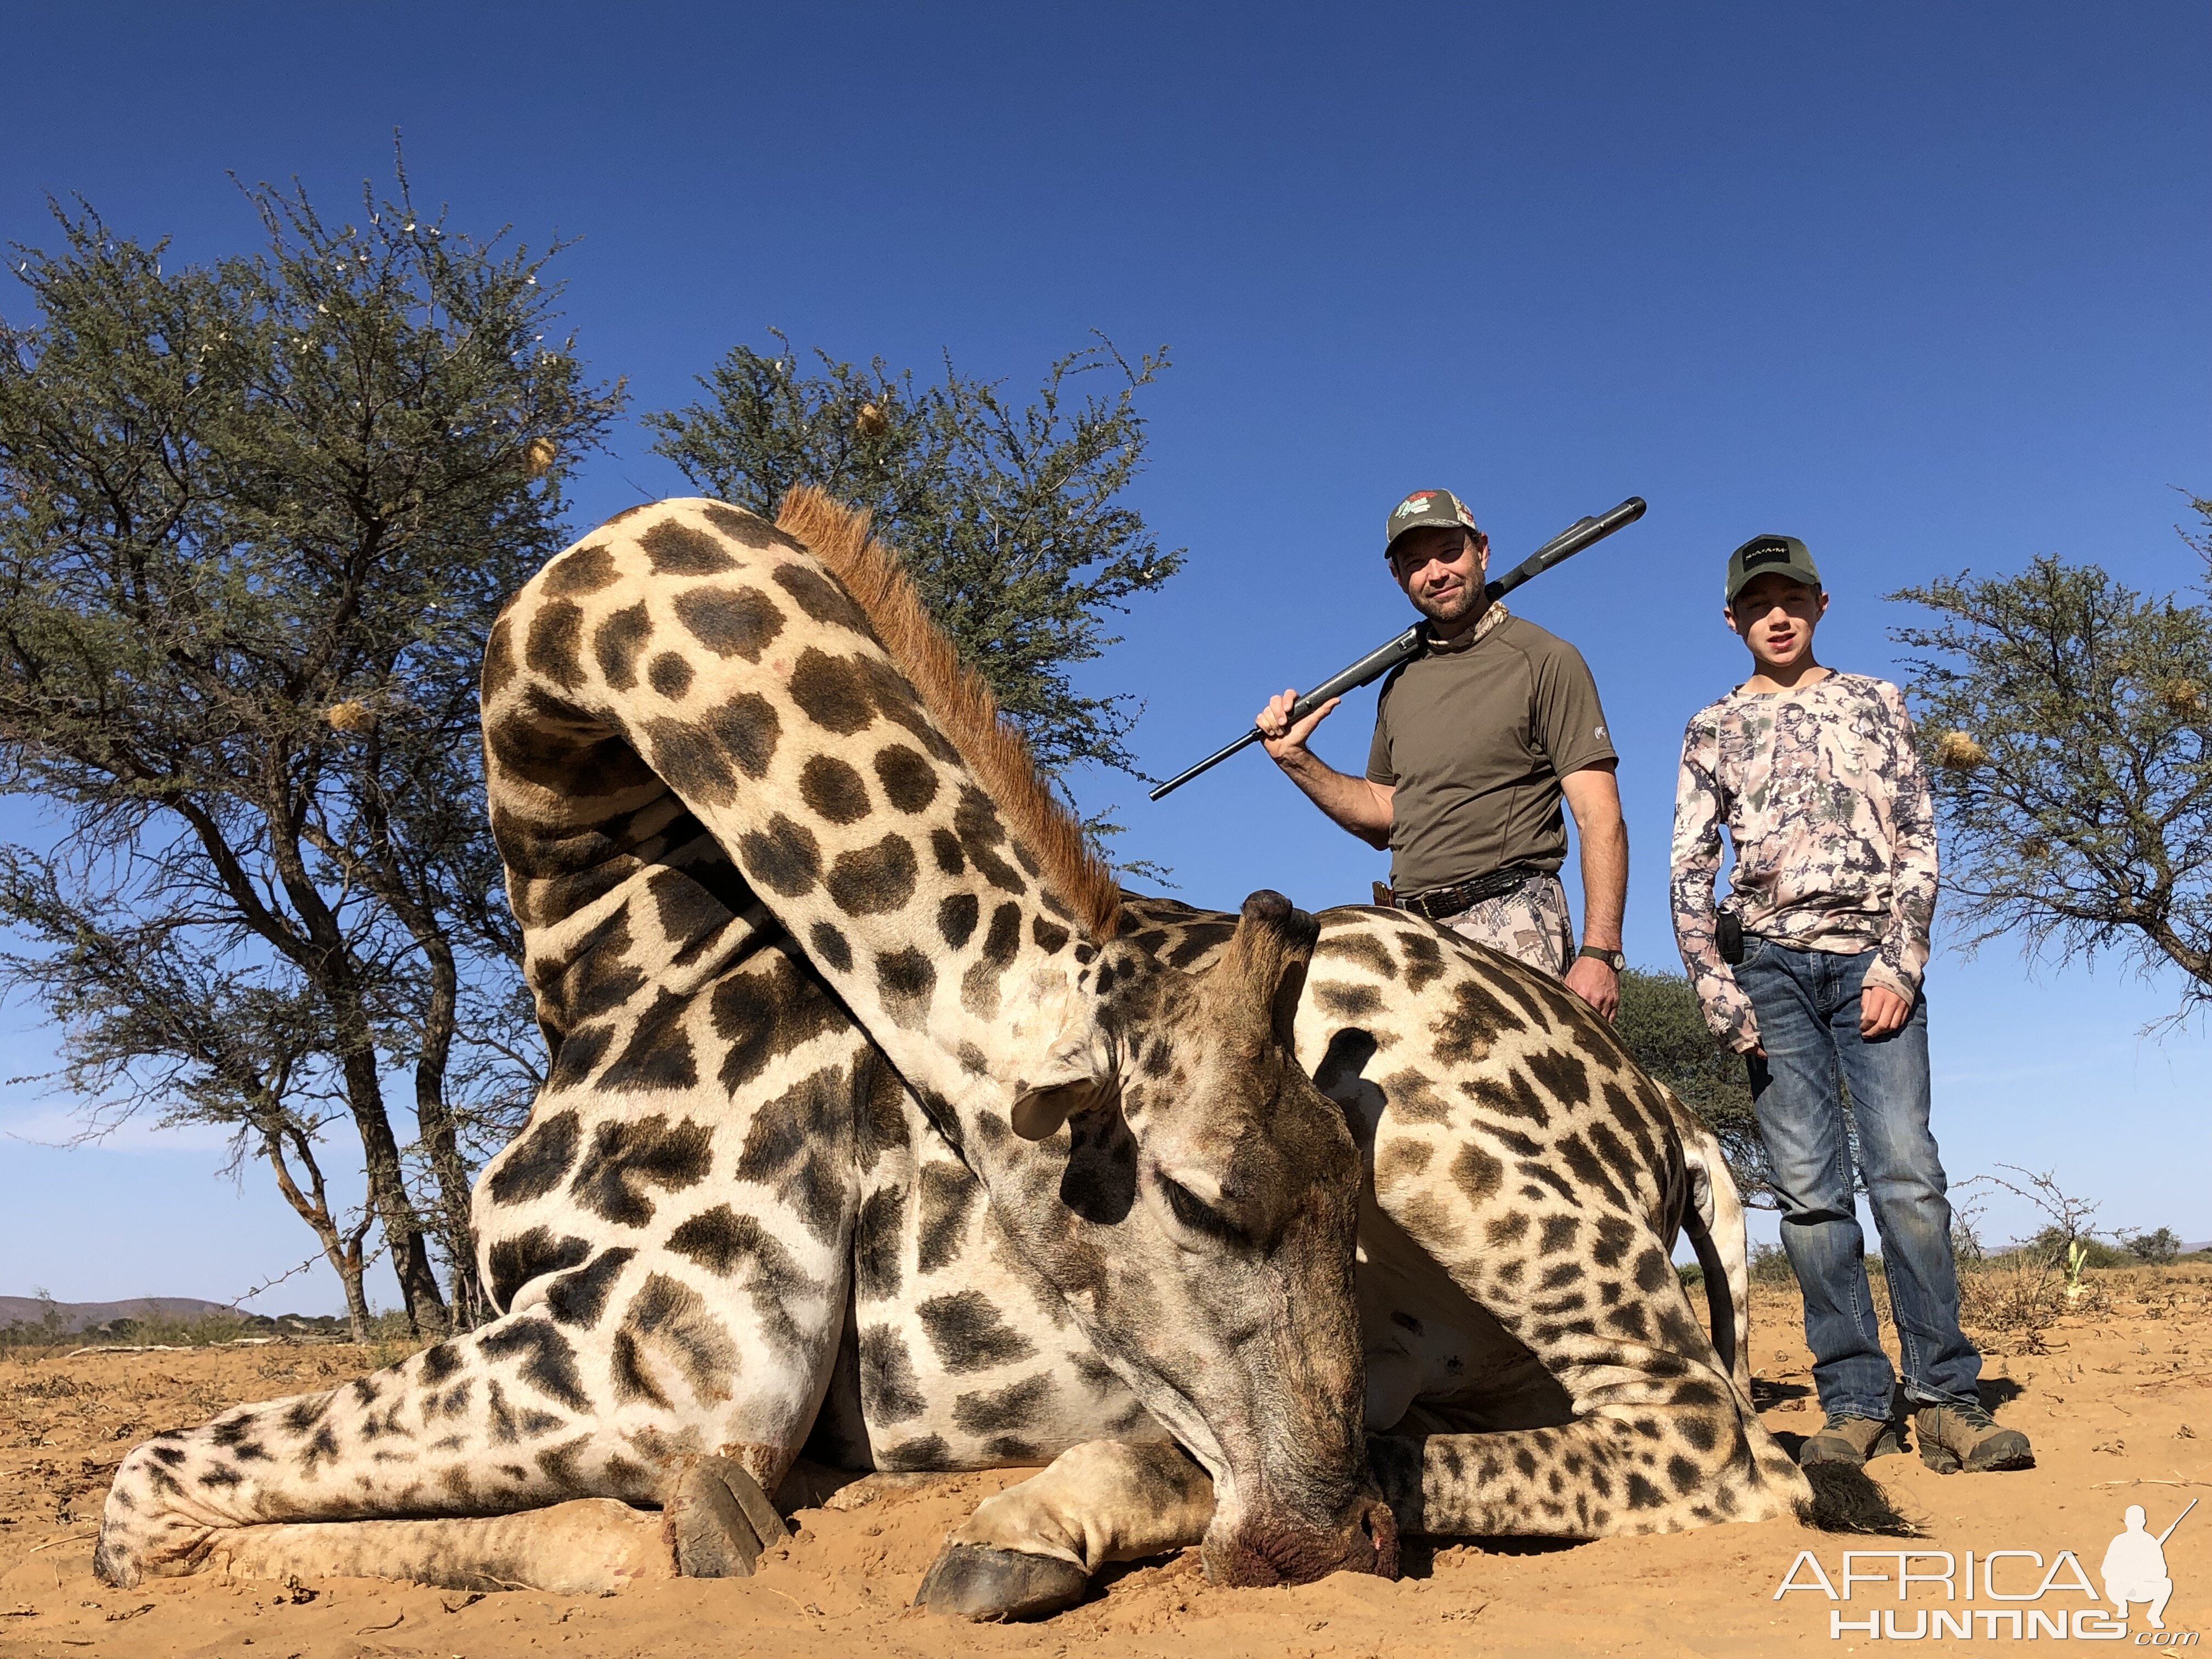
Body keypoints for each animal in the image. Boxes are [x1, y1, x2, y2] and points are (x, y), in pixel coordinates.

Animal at [91, 491, 1849, 1628]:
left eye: (1342, 1200)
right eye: (1201, 1200)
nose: (1326, 1539)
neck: (605, 946)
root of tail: (1665, 1121)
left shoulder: (662, 1354)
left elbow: (138, 1492)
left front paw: (683, 1540)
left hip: (1536, 1252)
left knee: (1728, 1465)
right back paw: (1038, 1527)